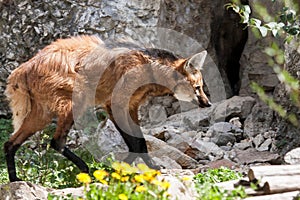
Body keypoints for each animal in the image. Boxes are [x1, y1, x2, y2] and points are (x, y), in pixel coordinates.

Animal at [4, 35, 211, 182]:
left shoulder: (130, 106)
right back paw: (85, 169)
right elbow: (137, 143)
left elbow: (138, 142)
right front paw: (129, 170)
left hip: (42, 113)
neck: (149, 69)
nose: (208, 103)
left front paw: (125, 169)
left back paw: (15, 180)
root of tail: (24, 67)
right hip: (73, 103)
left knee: (10, 143)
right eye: (197, 88)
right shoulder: (116, 104)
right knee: (57, 141)